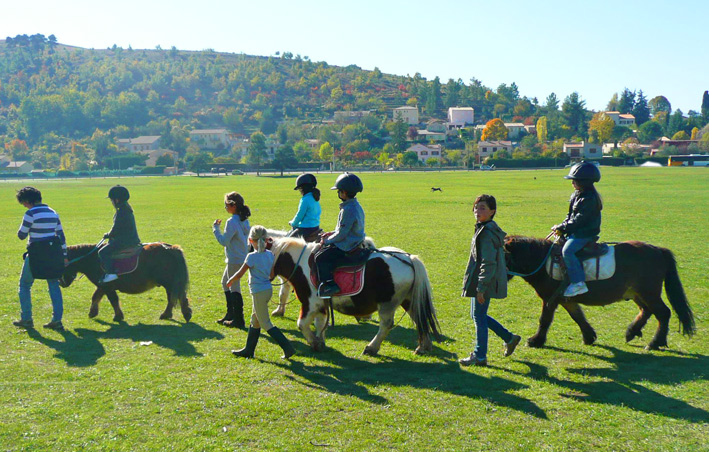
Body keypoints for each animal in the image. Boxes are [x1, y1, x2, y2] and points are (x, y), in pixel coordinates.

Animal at [59, 242, 192, 324]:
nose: (61, 283)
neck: (93, 259)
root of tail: (172, 248)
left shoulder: (107, 286)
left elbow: (113, 300)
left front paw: (118, 316)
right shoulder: (102, 285)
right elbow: (96, 296)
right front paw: (92, 312)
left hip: (169, 283)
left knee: (178, 298)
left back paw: (182, 314)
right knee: (173, 298)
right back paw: (170, 314)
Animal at [270, 237, 440, 356]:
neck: (301, 264)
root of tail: (409, 259)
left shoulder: (310, 303)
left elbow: (302, 324)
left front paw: (315, 343)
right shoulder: (321, 305)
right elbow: (320, 324)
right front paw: (321, 342)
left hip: (387, 304)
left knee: (386, 324)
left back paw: (371, 348)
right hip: (408, 300)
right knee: (419, 318)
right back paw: (423, 347)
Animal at [504, 235, 696, 352]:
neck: (544, 262)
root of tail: (658, 250)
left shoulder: (550, 298)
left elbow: (544, 320)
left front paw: (535, 340)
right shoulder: (566, 300)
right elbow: (578, 317)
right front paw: (589, 337)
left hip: (649, 292)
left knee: (663, 313)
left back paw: (655, 342)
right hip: (637, 293)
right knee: (646, 310)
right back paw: (631, 332)